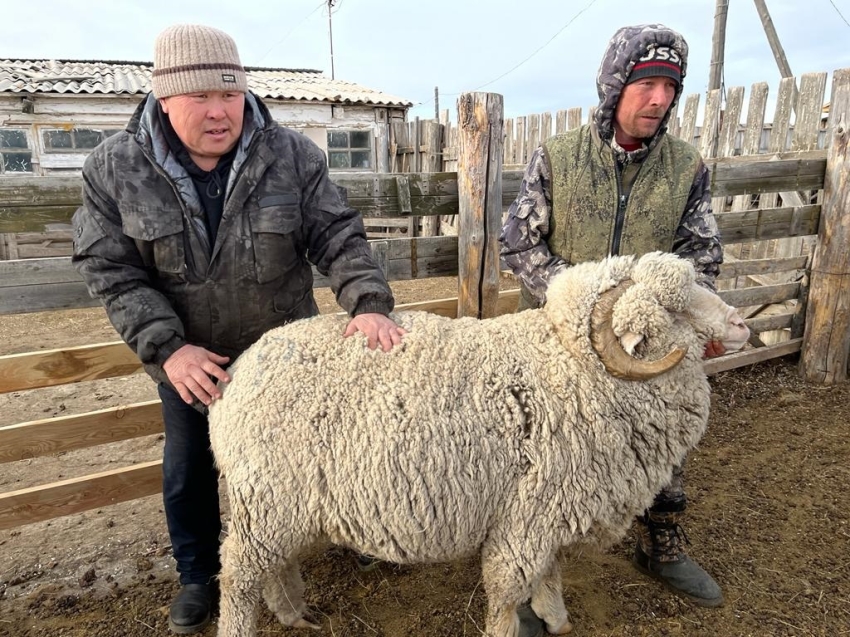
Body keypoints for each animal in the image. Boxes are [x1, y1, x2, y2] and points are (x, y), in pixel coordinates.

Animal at [205, 251, 748, 632]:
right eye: (672, 310)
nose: (741, 323)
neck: (576, 368)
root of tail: (236, 372)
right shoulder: (527, 518)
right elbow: (508, 593)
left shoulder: (550, 516)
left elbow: (549, 576)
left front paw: (558, 619)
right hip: (268, 500)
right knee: (237, 575)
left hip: (282, 505)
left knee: (274, 567)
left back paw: (295, 612)